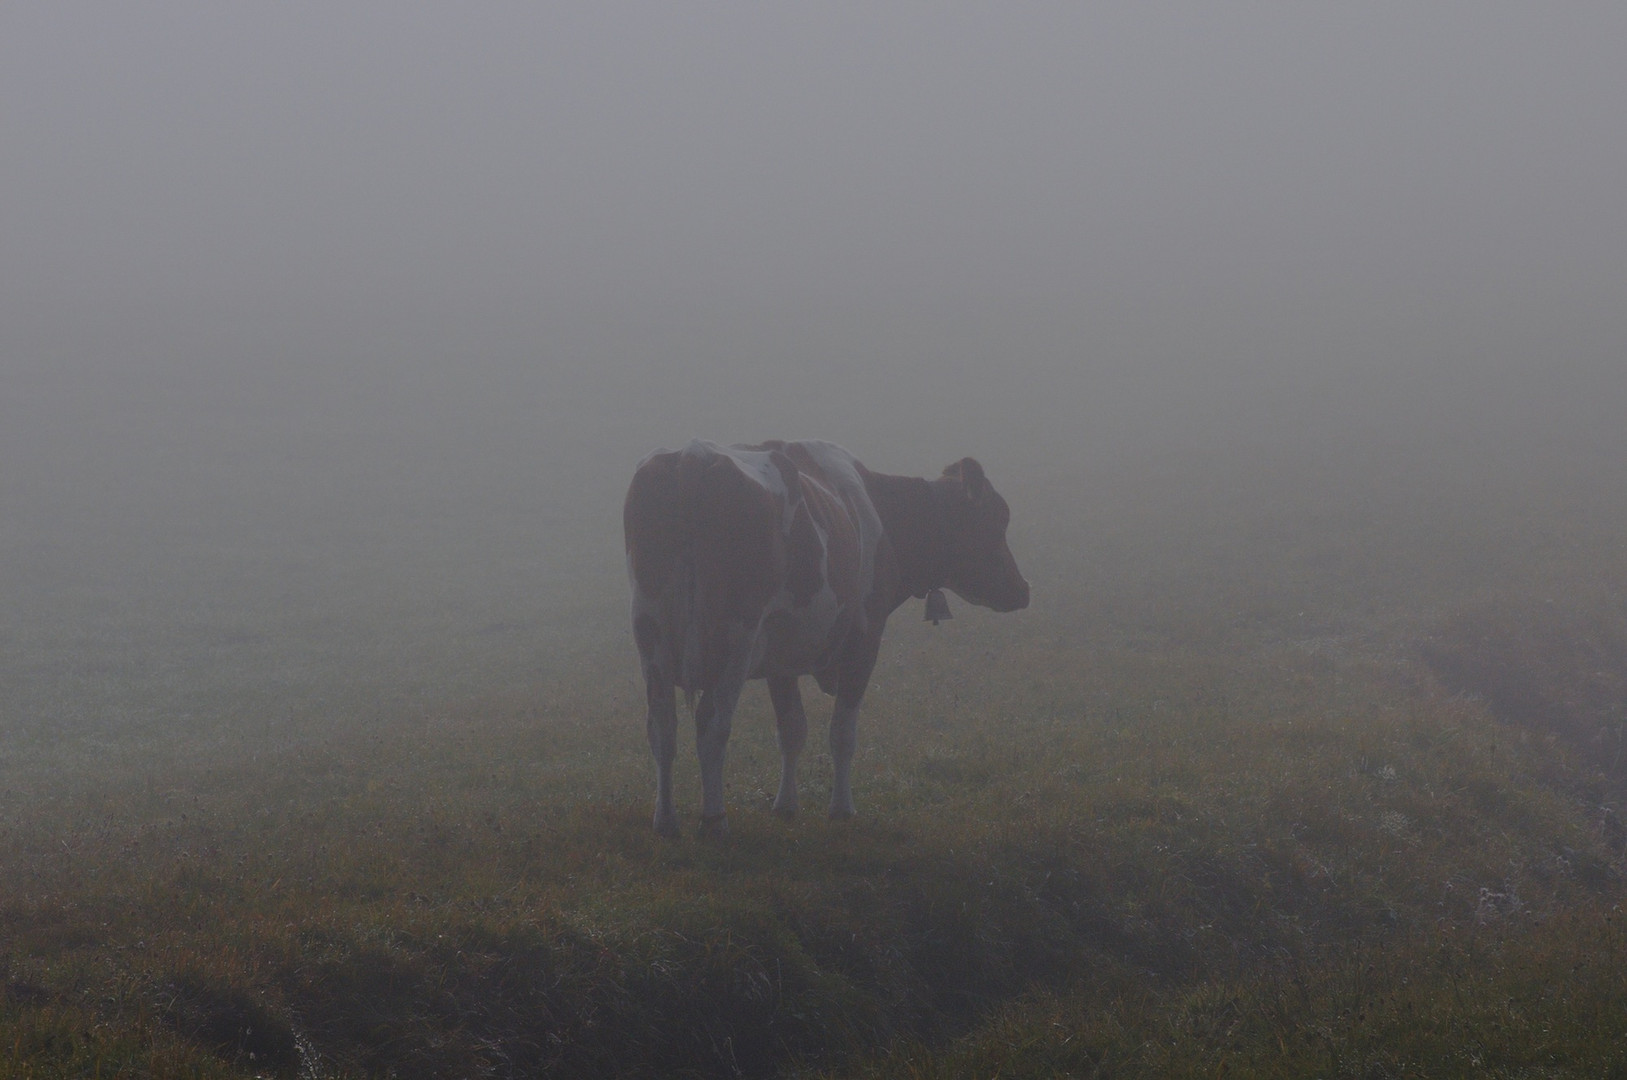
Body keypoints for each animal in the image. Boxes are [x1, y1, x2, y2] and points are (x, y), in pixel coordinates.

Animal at [624, 439, 1028, 832]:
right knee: (711, 724)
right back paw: (713, 819)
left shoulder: (780, 658)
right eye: (997, 519)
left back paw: (666, 819)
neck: (878, 511)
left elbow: (791, 730)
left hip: (650, 633)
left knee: (662, 725)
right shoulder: (864, 640)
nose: (1023, 590)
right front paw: (841, 809)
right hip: (736, 638)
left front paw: (786, 805)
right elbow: (842, 734)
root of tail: (694, 456)